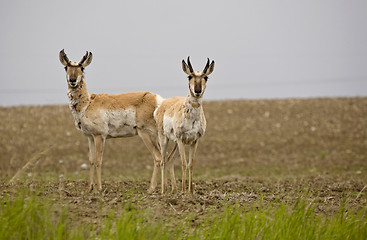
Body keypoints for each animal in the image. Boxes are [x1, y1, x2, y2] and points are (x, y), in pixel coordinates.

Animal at [59, 49, 165, 192]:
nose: (72, 80)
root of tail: (156, 99)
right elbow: (91, 160)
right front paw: (89, 188)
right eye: (66, 67)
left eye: (82, 68)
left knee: (157, 157)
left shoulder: (100, 136)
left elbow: (98, 160)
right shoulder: (90, 137)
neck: (88, 103)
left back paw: (151, 189)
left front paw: (99, 189)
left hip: (146, 134)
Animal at [155, 56, 216, 193]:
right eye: (189, 76)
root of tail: (162, 105)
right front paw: (184, 191)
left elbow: (191, 163)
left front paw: (190, 192)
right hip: (165, 139)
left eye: (206, 77)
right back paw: (163, 192)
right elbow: (183, 163)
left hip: (177, 144)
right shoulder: (180, 138)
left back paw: (174, 190)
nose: (197, 90)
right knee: (163, 161)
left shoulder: (194, 140)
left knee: (170, 160)